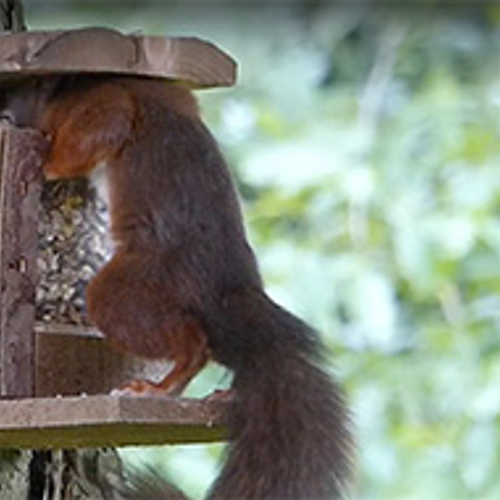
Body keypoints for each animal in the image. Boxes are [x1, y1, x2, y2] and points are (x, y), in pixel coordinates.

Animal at [4, 75, 356, 500]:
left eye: (7, 96)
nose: (6, 117)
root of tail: (227, 287)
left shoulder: (106, 100)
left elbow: (101, 129)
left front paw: (46, 165)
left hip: (128, 289)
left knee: (193, 346)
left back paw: (157, 389)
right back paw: (227, 393)